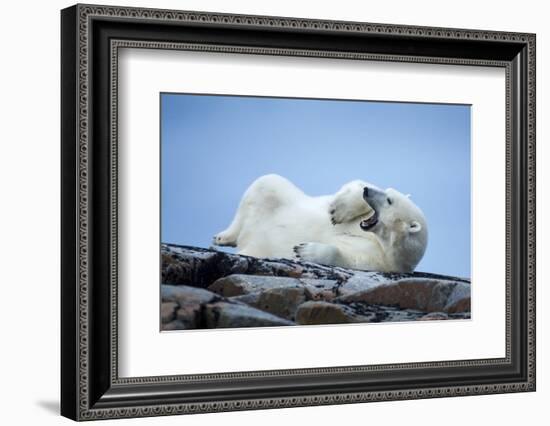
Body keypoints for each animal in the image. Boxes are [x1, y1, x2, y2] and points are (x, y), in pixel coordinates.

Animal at [213, 174, 430, 272]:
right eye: (388, 191)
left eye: (389, 200)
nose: (368, 191)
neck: (380, 241)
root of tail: (248, 239)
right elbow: (355, 184)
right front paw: (338, 211)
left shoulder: (380, 261)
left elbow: (347, 258)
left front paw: (303, 250)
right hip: (282, 197)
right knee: (265, 184)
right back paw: (223, 236)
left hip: (257, 247)